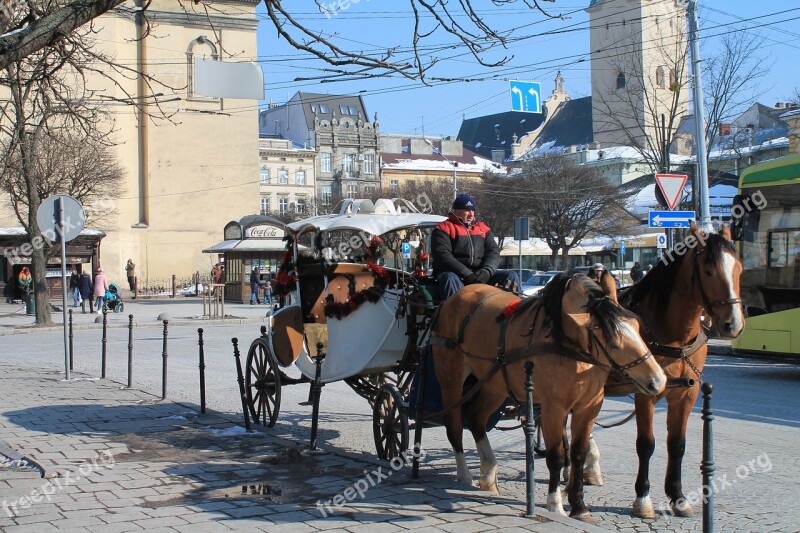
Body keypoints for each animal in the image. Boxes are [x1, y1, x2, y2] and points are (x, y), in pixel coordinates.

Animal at [434, 272, 664, 516]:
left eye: (638, 328)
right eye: (614, 344)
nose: (659, 380)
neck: (566, 343)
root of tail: (455, 298)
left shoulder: (589, 406)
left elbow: (578, 453)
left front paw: (579, 506)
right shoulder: (554, 407)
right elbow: (556, 456)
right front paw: (555, 504)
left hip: (493, 384)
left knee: (476, 418)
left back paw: (488, 473)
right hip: (451, 378)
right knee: (454, 423)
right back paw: (464, 473)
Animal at [592, 223, 744, 516]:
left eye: (739, 269)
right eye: (708, 270)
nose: (733, 325)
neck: (674, 336)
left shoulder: (686, 395)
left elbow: (677, 445)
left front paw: (678, 496)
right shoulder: (646, 393)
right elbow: (646, 444)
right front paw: (643, 498)